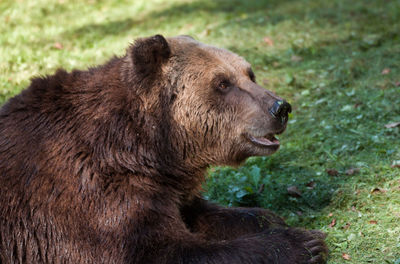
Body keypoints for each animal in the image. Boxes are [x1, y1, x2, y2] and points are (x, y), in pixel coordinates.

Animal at [0, 35, 324, 264]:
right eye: (222, 83)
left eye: (249, 74)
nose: (280, 107)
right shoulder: (89, 195)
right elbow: (161, 250)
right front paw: (305, 243)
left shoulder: (165, 186)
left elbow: (201, 212)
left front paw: (267, 218)